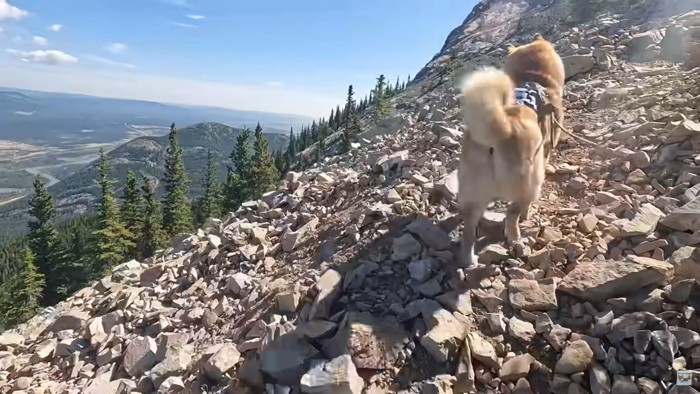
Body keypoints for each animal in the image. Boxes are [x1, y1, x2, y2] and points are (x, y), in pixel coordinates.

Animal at [454, 69, 548, 270]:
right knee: (512, 214)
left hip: (473, 192)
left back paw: (469, 261)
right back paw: (516, 239)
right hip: (529, 183)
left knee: (468, 231)